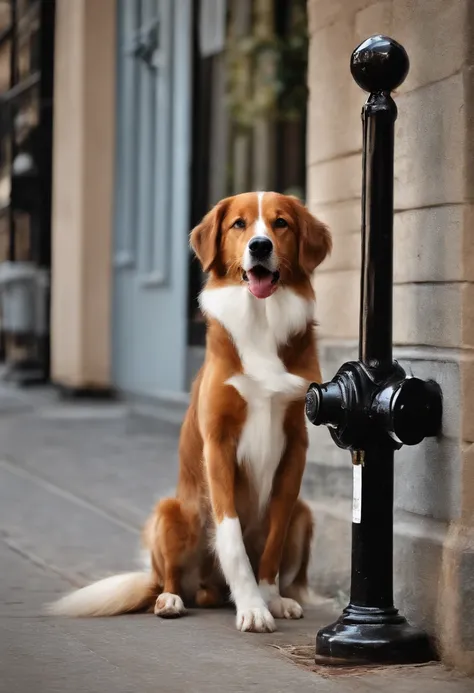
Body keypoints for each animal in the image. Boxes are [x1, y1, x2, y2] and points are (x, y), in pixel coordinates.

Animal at [48, 191, 330, 632]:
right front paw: (252, 606)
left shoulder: (294, 447)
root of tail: (207, 589)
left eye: (281, 223)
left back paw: (275, 597)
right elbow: (231, 536)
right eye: (239, 224)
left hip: (306, 513)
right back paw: (170, 600)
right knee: (169, 578)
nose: (260, 246)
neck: (260, 322)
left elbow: (273, 539)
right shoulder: (219, 443)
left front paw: (267, 598)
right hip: (170, 513)